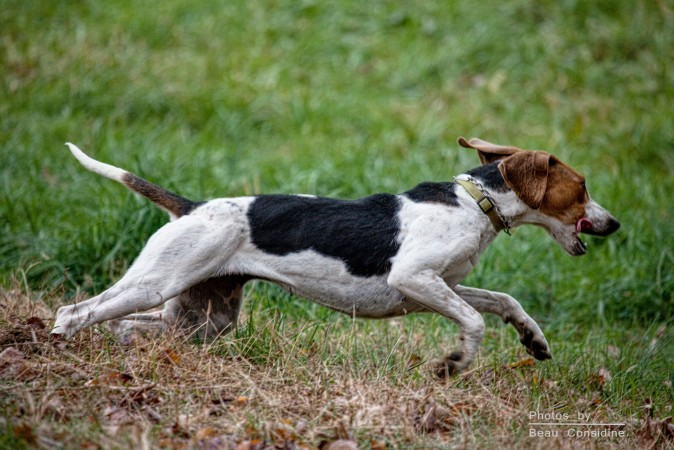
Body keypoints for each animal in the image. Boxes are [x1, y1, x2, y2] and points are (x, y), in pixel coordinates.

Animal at [52, 138, 616, 376]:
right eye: (582, 187)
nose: (614, 224)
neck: (474, 202)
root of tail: (191, 207)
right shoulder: (414, 279)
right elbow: (475, 322)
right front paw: (453, 365)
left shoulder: (443, 287)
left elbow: (503, 301)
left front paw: (534, 341)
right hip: (156, 284)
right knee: (75, 312)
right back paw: (54, 348)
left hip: (204, 318)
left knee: (127, 327)